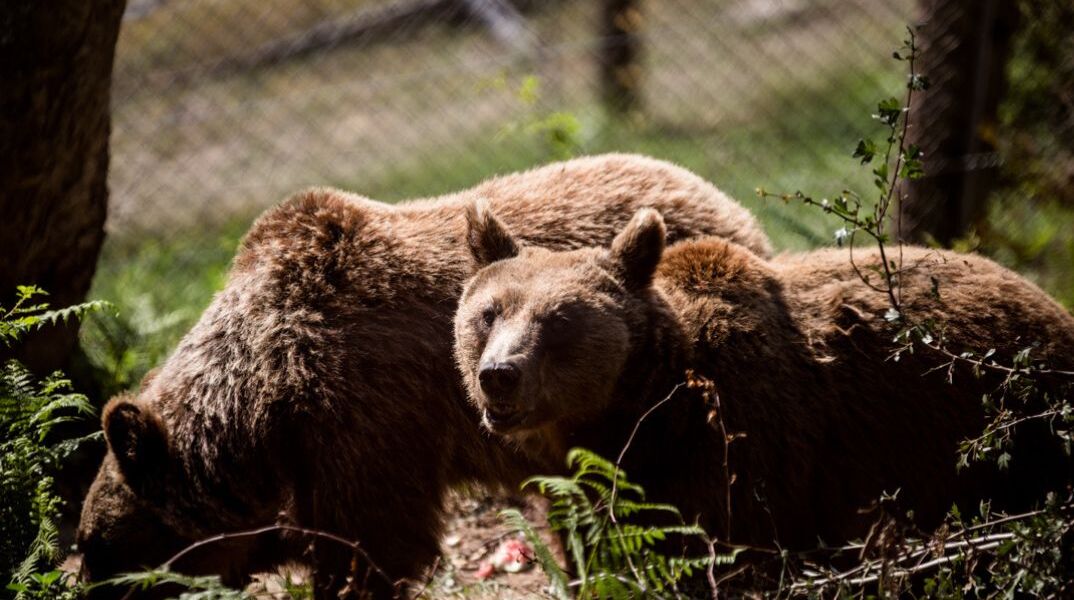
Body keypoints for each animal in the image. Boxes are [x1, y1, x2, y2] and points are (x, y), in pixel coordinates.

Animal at [455, 206, 1074, 558]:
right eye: (490, 312)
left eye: (559, 320)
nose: (498, 376)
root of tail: (1050, 304)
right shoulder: (589, 491)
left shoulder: (739, 451)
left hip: (1012, 436)